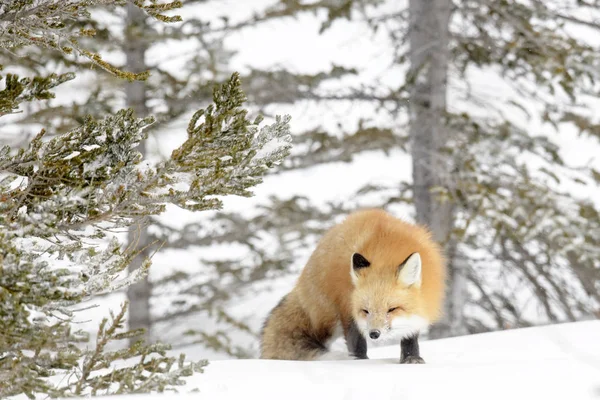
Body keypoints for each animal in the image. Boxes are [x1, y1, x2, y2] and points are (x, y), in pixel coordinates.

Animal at [258, 209, 446, 362]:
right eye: (366, 311)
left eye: (392, 309)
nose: (374, 334)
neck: (387, 250)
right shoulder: (348, 305)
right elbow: (356, 341)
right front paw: (359, 362)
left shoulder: (420, 306)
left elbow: (410, 335)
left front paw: (411, 358)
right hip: (333, 315)